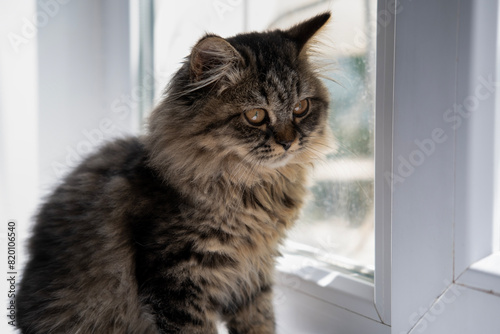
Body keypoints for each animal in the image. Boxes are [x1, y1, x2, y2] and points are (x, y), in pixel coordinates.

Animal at [17, 12, 334, 334]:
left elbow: (260, 322)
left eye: (301, 107)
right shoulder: (178, 280)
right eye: (255, 116)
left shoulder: (254, 274)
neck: (253, 189)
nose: (289, 142)